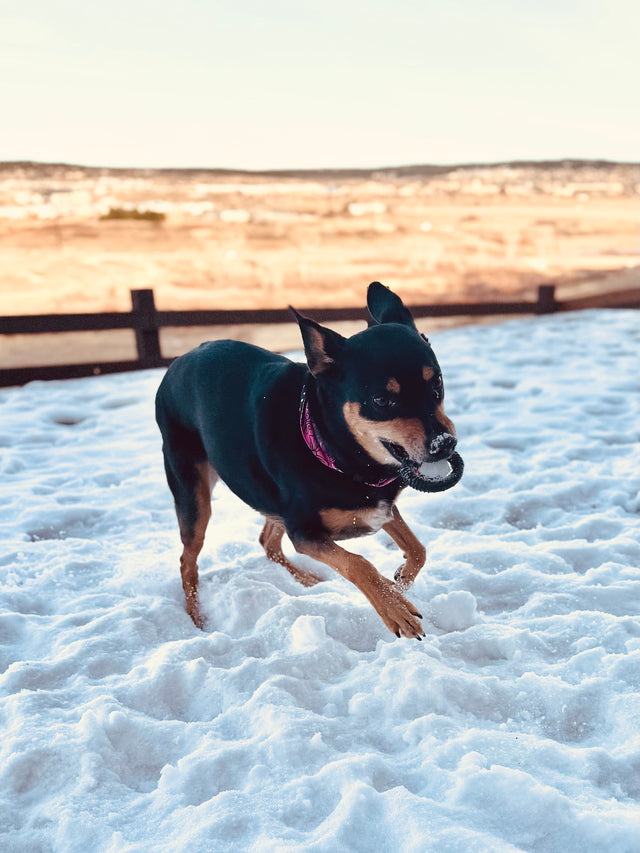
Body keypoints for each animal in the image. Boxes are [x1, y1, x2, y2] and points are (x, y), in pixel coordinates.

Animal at [157, 282, 462, 636]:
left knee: (267, 542)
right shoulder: (304, 531)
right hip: (192, 493)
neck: (334, 450)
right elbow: (358, 563)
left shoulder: (379, 506)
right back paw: (196, 618)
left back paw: (309, 581)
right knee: (187, 561)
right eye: (381, 400)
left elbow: (417, 549)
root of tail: (178, 361)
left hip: (268, 497)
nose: (444, 444)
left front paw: (397, 582)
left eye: (436, 381)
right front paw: (395, 607)